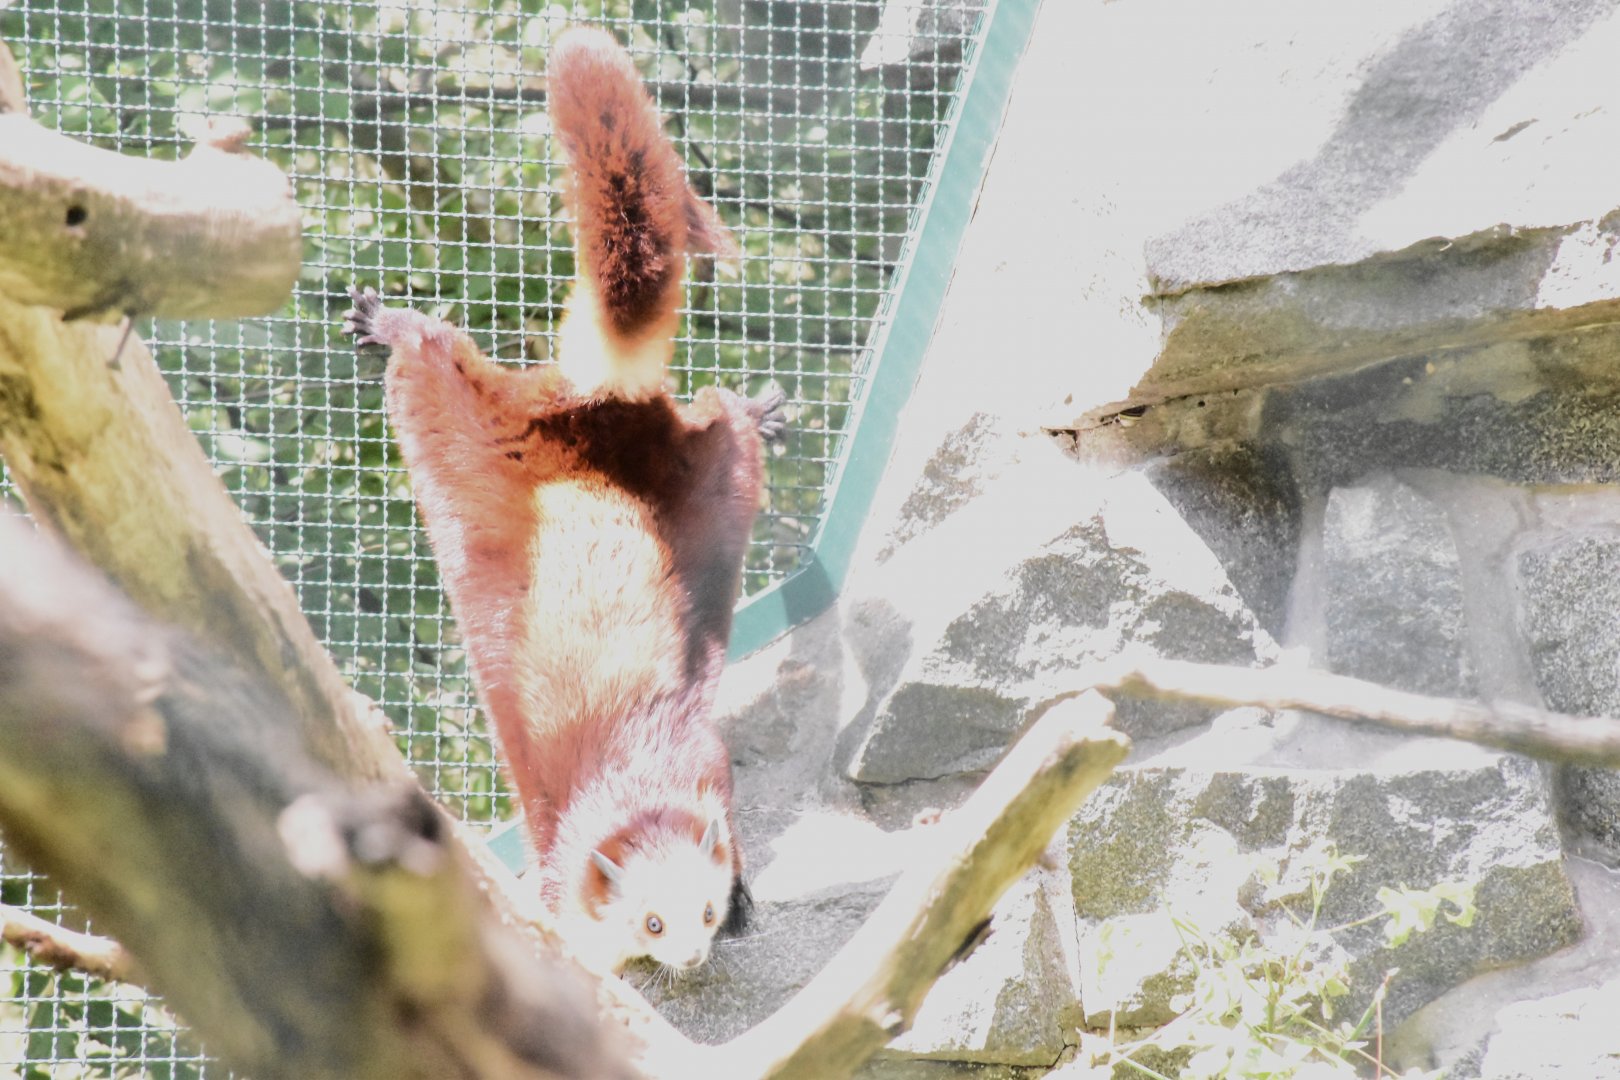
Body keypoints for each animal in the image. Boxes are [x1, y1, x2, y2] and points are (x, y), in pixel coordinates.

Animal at [342, 25, 783, 975]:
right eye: (648, 922)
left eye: (701, 907)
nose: (691, 957)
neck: (627, 752)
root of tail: (591, 400)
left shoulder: (706, 755)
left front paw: (749, 899)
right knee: (435, 347)